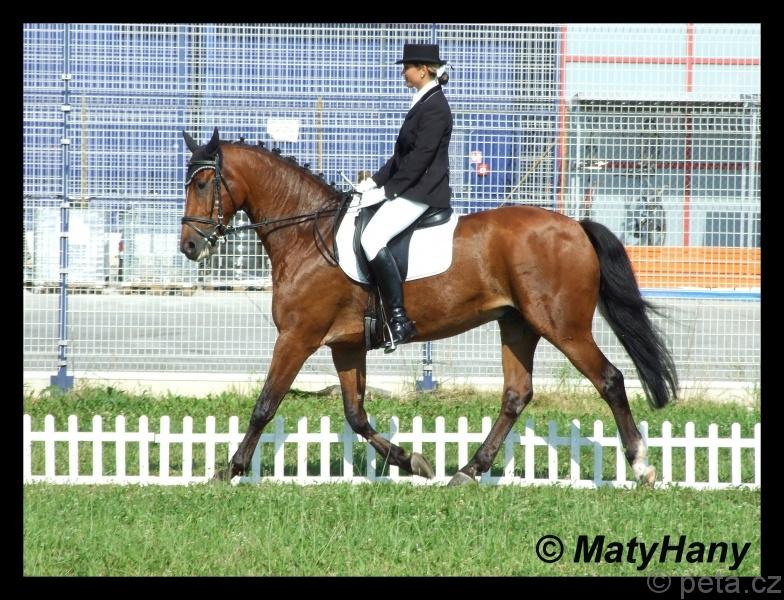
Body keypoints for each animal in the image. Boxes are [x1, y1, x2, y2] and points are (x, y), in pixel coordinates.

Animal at [179, 128, 678, 486]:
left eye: (202, 182)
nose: (189, 246)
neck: (307, 235)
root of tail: (575, 225)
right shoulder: (345, 345)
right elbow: (356, 416)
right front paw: (412, 461)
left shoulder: (298, 337)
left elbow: (265, 404)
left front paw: (229, 470)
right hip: (519, 325)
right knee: (516, 395)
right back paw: (469, 472)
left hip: (563, 326)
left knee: (609, 380)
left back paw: (642, 467)